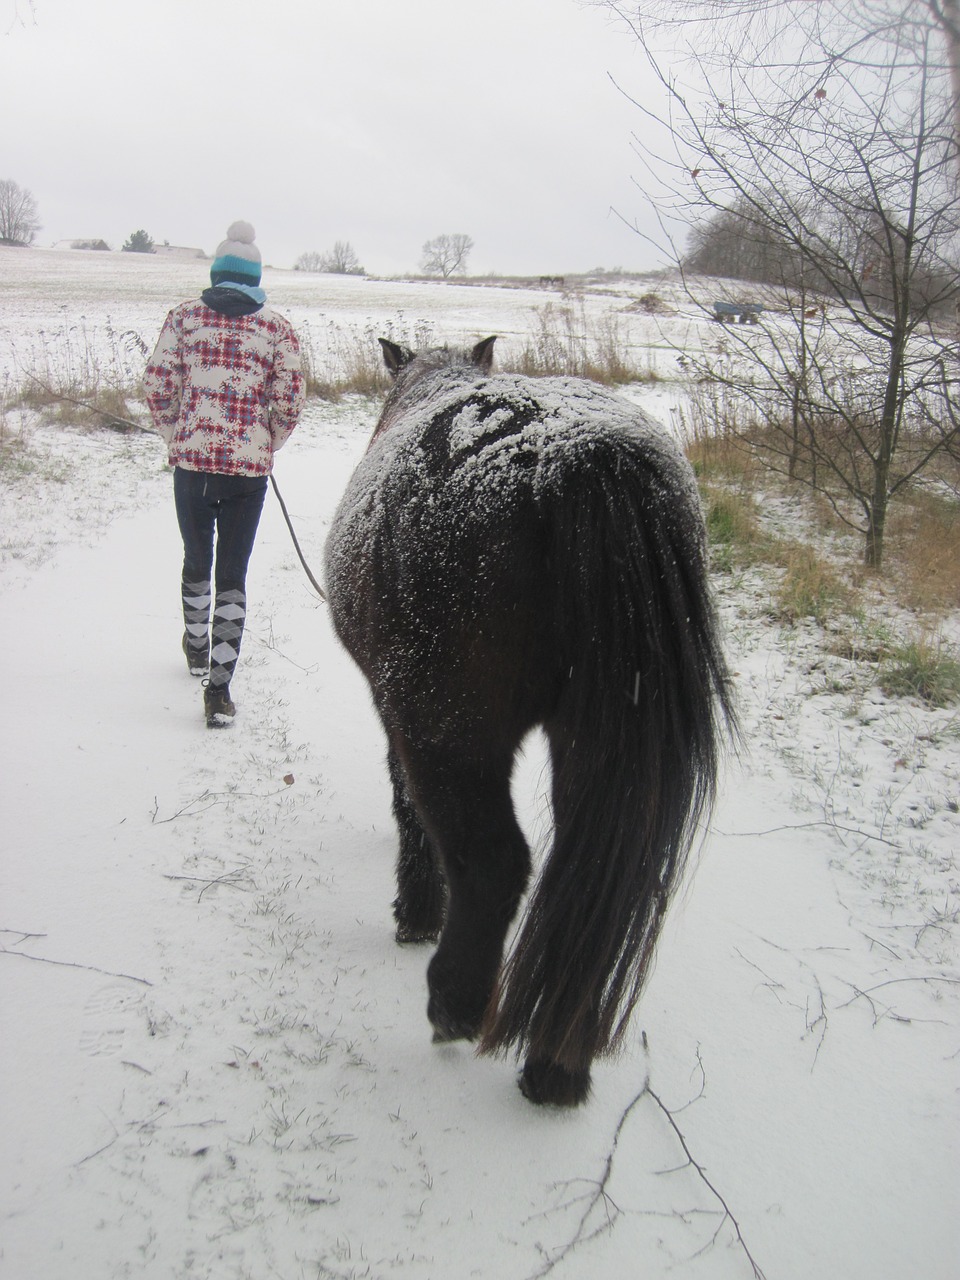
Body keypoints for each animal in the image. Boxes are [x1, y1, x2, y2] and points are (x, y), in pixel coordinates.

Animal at [323, 335, 737, 1105]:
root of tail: (582, 459)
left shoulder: (397, 716)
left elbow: (407, 807)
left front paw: (416, 911)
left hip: (449, 733)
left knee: (495, 863)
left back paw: (453, 1003)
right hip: (598, 744)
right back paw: (555, 1069)